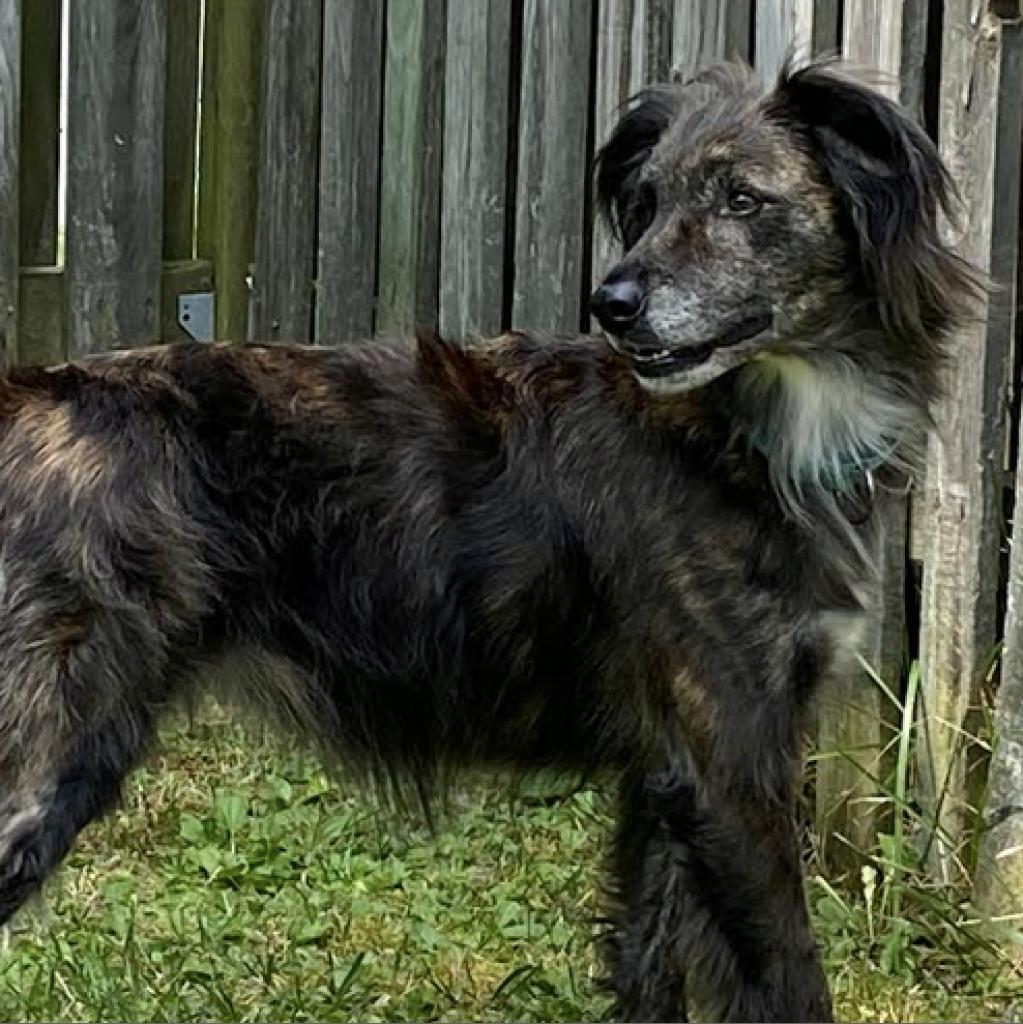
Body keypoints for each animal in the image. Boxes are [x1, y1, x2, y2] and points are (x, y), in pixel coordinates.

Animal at [0, 59, 978, 1019]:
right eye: (648, 200)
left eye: (741, 198)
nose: (612, 302)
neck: (742, 427)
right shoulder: (730, 771)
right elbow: (789, 978)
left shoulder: (670, 776)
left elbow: (648, 968)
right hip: (41, 758)